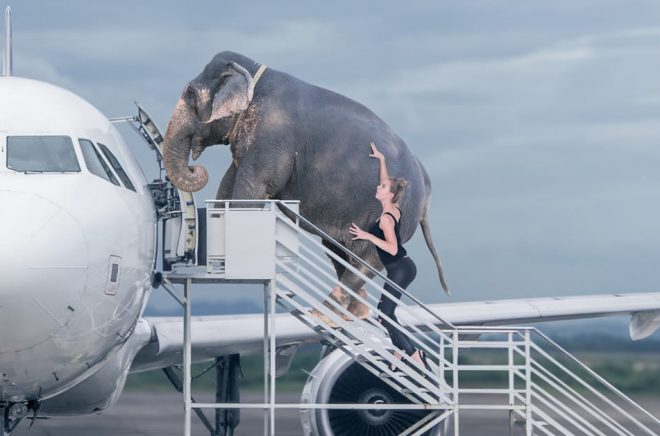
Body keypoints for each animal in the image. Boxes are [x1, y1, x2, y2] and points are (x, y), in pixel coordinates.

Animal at [163, 50, 452, 316]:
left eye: (190, 94)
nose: (195, 167)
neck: (255, 74)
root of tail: (427, 188)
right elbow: (229, 182)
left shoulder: (271, 140)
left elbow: (252, 189)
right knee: (339, 250)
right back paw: (355, 312)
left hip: (393, 214)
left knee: (364, 259)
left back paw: (324, 313)